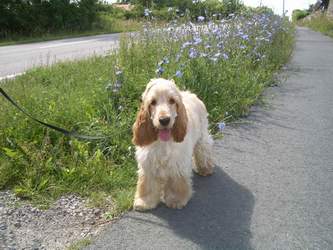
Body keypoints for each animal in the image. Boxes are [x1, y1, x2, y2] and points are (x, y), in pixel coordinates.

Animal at [130, 78, 211, 211]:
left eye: (172, 100)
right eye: (153, 102)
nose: (164, 120)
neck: (163, 142)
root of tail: (189, 93)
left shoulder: (178, 163)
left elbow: (176, 183)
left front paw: (176, 200)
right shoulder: (148, 163)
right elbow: (147, 184)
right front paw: (145, 202)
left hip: (202, 136)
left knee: (205, 150)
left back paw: (205, 168)